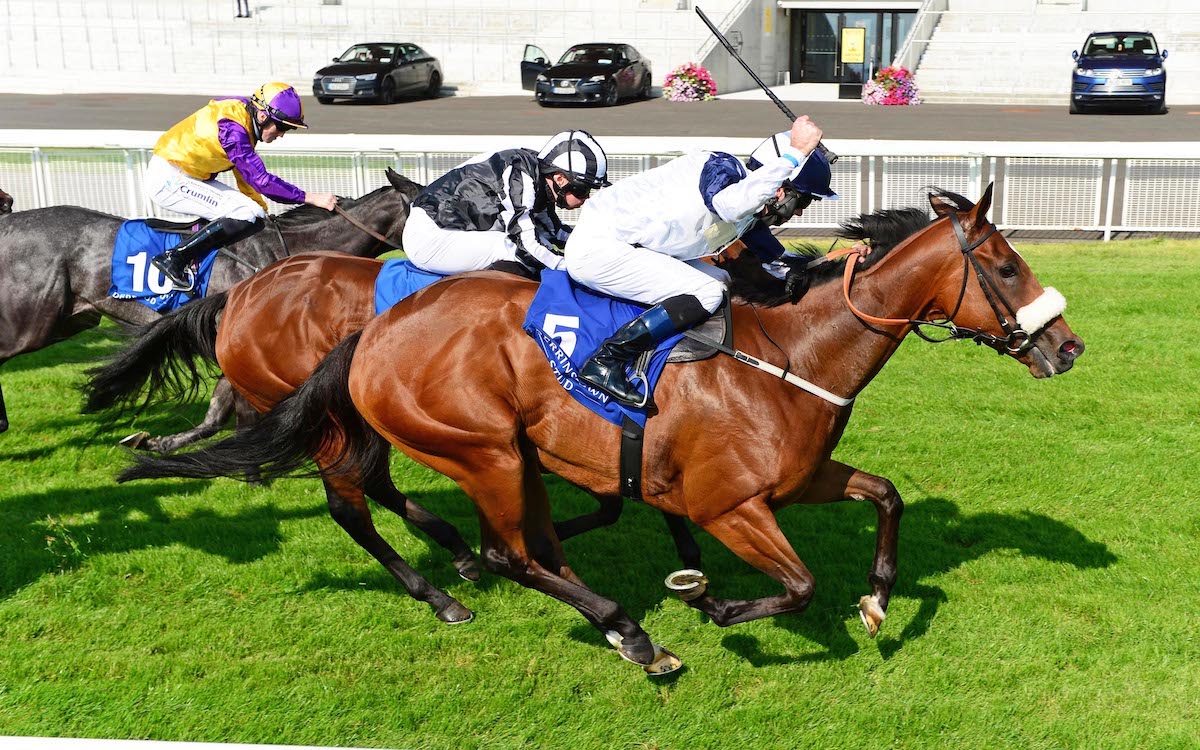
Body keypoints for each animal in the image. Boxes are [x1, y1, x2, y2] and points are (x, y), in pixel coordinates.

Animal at [121, 186, 1089, 672]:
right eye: (1005, 264)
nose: (1068, 346)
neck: (790, 352)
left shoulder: (798, 478)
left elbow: (886, 497)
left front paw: (880, 594)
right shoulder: (734, 503)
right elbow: (799, 582)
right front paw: (716, 600)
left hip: (490, 451)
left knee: (509, 537)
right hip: (475, 447)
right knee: (446, 531)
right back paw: (559, 611)